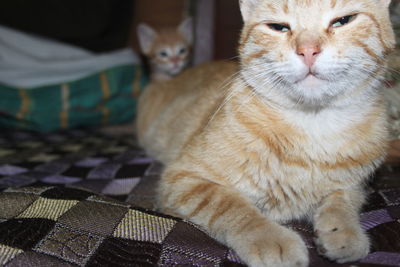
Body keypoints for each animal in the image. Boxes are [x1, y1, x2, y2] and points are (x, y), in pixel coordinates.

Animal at [137, 1, 394, 266]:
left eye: (343, 21)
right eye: (278, 27)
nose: (308, 51)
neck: (313, 127)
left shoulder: (356, 185)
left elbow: (343, 201)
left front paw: (344, 232)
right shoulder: (184, 178)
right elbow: (232, 206)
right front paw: (271, 239)